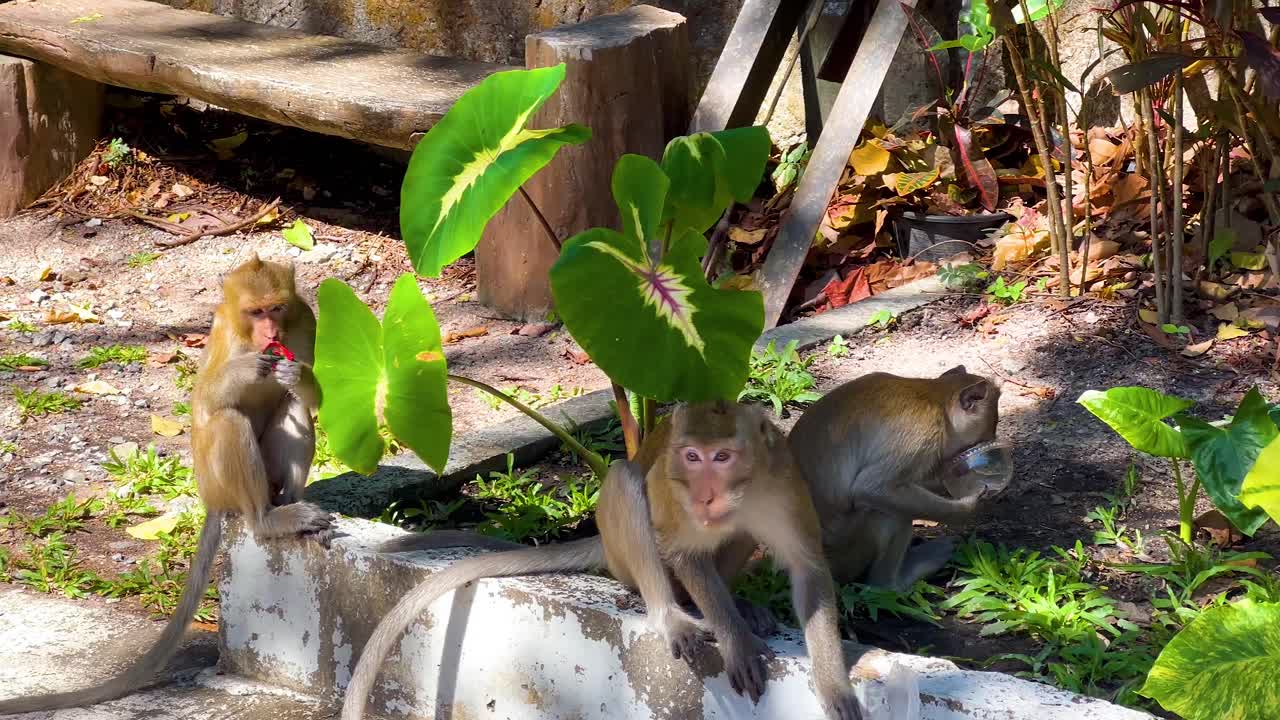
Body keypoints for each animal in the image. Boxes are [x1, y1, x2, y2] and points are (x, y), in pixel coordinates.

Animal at [0, 254, 332, 715]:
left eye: (277, 308)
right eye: (255, 312)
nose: (271, 334)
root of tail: (215, 498)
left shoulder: (306, 319)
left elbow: (312, 397)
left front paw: (294, 372)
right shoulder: (224, 335)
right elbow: (207, 405)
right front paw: (246, 370)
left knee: (292, 404)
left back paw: (292, 505)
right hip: (218, 480)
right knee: (228, 421)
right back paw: (266, 520)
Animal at [342, 401, 862, 720]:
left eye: (722, 457)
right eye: (691, 456)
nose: (703, 495)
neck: (742, 492)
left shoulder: (784, 482)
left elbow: (809, 570)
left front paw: (834, 686)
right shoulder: (676, 495)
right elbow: (681, 547)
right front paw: (735, 641)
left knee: (735, 532)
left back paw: (738, 603)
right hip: (622, 551)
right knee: (627, 483)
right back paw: (672, 612)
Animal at [788, 365, 1002, 592]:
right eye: (986, 433)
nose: (991, 440)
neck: (936, 397)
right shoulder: (923, 432)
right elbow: (872, 488)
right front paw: (971, 506)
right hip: (848, 552)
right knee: (891, 514)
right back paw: (894, 582)